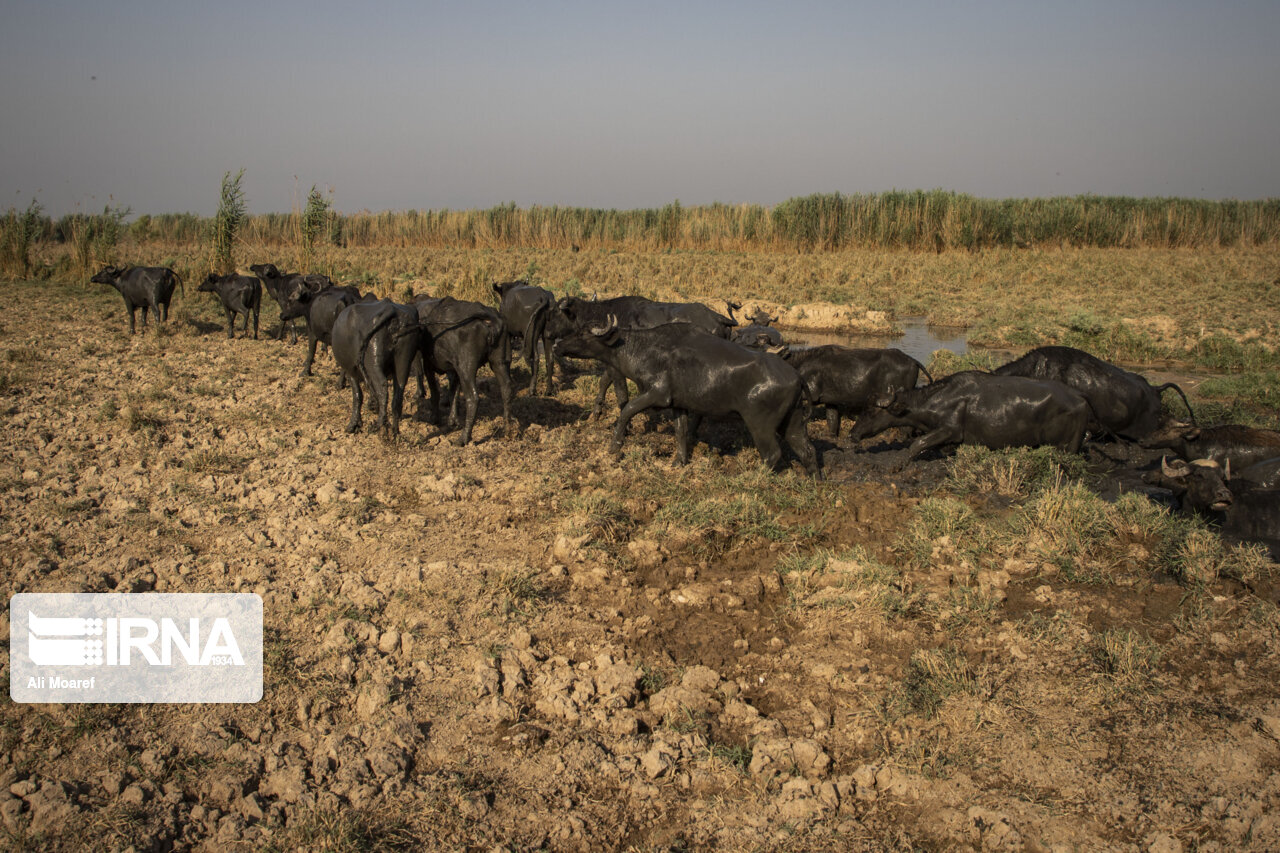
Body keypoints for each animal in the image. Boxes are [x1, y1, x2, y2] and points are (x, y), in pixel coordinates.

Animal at [330, 300, 430, 438]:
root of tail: (391, 310)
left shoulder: (351, 371)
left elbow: (357, 395)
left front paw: (353, 425)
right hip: (403, 359)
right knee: (398, 392)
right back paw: (394, 432)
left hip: (373, 359)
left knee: (382, 387)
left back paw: (380, 426)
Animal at [552, 315, 819, 473]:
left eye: (584, 334)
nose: (556, 344)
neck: (644, 349)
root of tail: (796, 377)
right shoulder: (678, 404)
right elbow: (680, 431)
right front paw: (679, 461)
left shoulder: (655, 395)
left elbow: (626, 410)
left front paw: (615, 446)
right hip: (793, 422)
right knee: (807, 451)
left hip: (759, 425)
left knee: (772, 454)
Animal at [855, 371, 1085, 466]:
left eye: (872, 412)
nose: (852, 433)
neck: (937, 400)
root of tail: (1080, 399)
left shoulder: (950, 430)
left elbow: (917, 444)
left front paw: (900, 464)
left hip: (1064, 447)